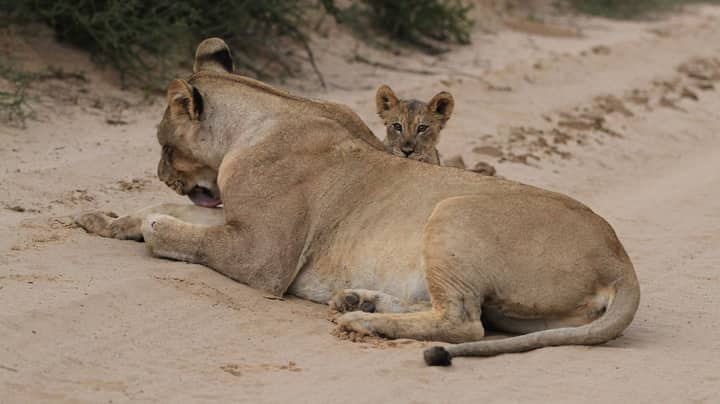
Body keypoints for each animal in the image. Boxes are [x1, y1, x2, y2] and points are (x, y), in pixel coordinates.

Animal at [76, 38, 640, 366]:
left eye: (164, 146)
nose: (160, 174)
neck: (262, 116)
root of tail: (622, 261)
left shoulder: (263, 258)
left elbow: (168, 229)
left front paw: (147, 223)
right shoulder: (235, 220)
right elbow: (167, 214)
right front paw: (102, 218)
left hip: (452, 210)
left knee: (463, 321)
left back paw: (360, 321)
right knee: (458, 311)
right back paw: (357, 300)